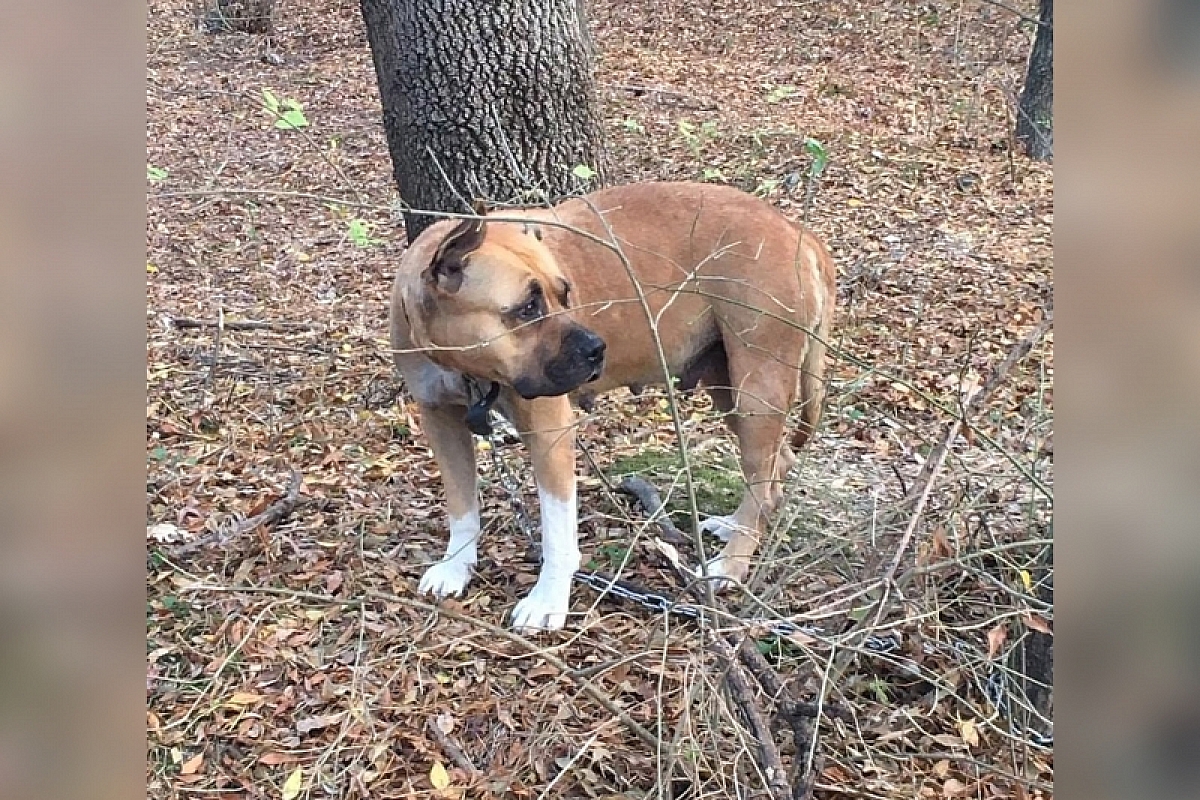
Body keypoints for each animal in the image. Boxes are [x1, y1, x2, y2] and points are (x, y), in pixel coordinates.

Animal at [391, 181, 835, 633]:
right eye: (528, 307)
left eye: (564, 293)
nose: (596, 348)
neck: (465, 365)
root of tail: (797, 232)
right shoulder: (441, 421)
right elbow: (461, 505)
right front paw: (456, 566)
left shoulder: (549, 434)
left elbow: (557, 531)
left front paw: (548, 599)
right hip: (729, 387)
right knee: (775, 468)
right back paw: (738, 528)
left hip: (757, 389)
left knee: (762, 476)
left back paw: (731, 565)